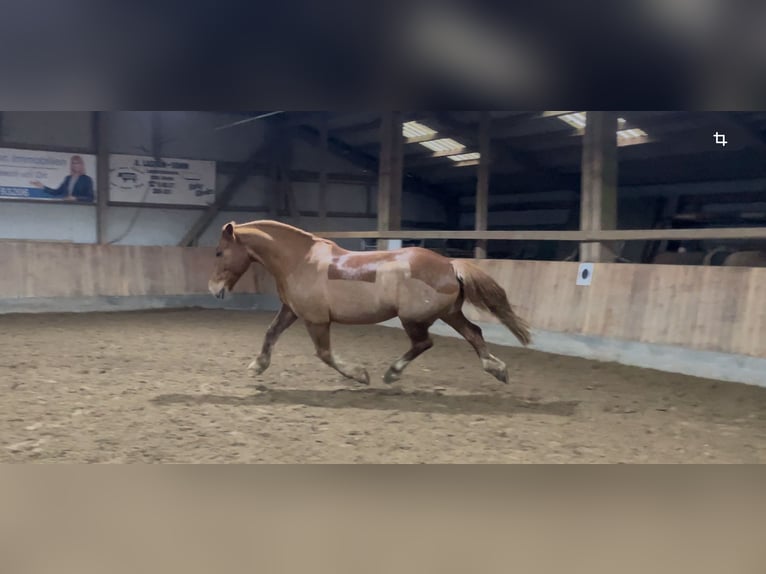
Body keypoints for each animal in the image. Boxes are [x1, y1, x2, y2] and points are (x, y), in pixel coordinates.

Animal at [208, 219, 532, 385]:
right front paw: (257, 366)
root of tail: (450, 264)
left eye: (219, 252)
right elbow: (270, 333)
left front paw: (359, 375)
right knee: (473, 333)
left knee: (424, 343)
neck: (299, 261)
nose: (213, 288)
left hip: (414, 318)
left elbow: (324, 354)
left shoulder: (316, 319)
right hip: (448, 314)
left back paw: (392, 372)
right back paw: (497, 370)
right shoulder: (293, 311)